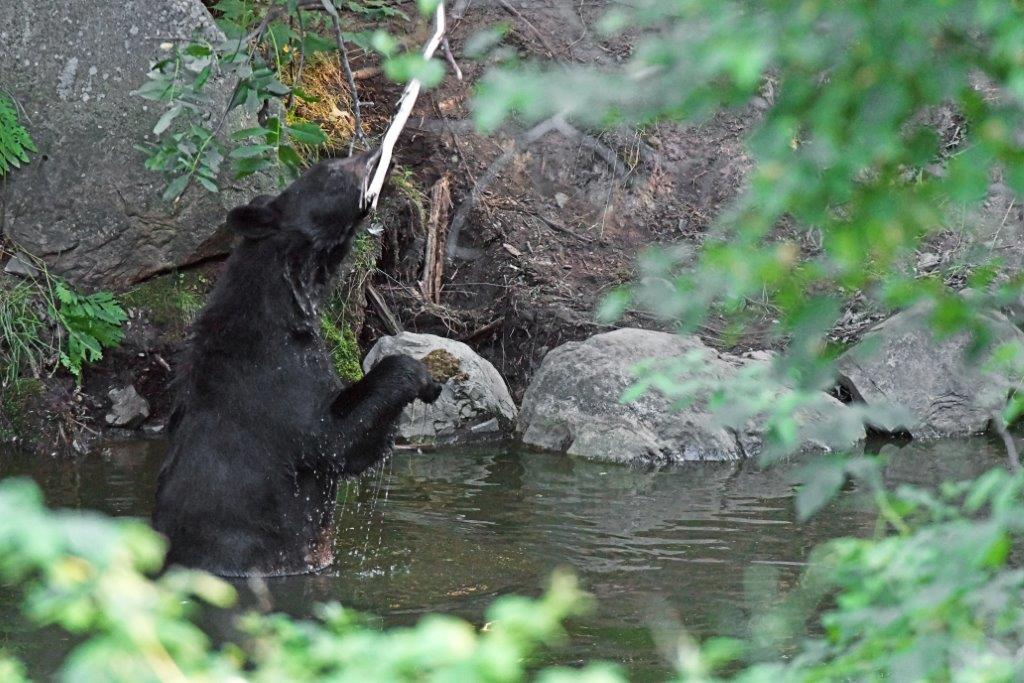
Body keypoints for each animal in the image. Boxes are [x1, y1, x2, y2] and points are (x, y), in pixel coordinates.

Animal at [152, 149, 442, 577]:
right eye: (332, 170)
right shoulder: (273, 380)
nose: (375, 153)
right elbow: (332, 439)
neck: (285, 310)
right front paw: (419, 377)